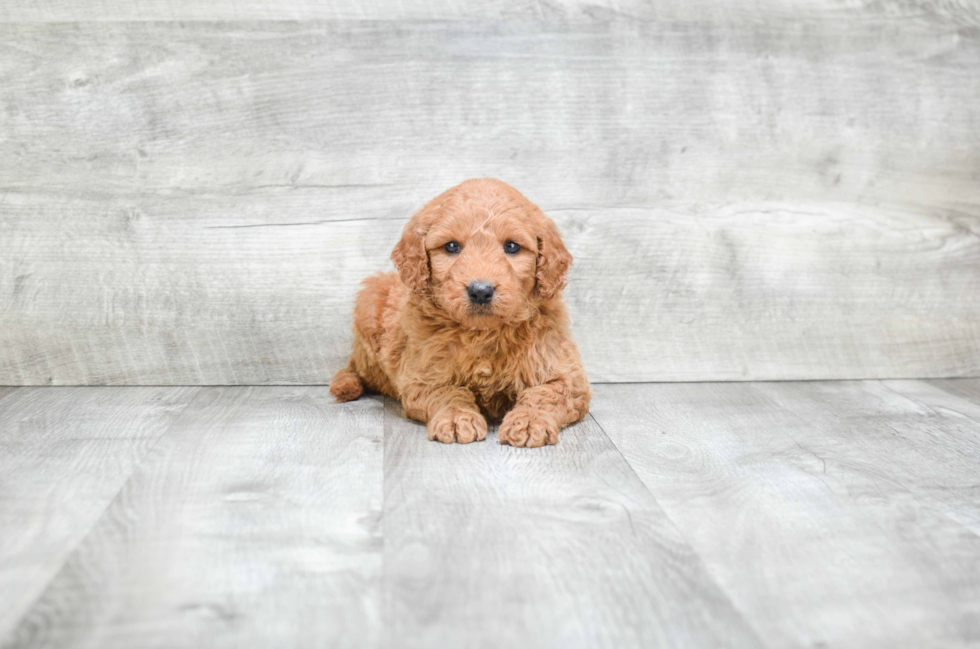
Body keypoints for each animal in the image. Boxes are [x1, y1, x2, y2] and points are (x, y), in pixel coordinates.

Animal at [330, 176, 588, 446]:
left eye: (512, 246)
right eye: (452, 246)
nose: (481, 291)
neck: (483, 333)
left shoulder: (566, 374)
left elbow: (547, 393)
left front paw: (529, 421)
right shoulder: (423, 375)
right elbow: (447, 392)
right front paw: (456, 418)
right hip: (369, 303)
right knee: (356, 367)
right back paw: (347, 384)